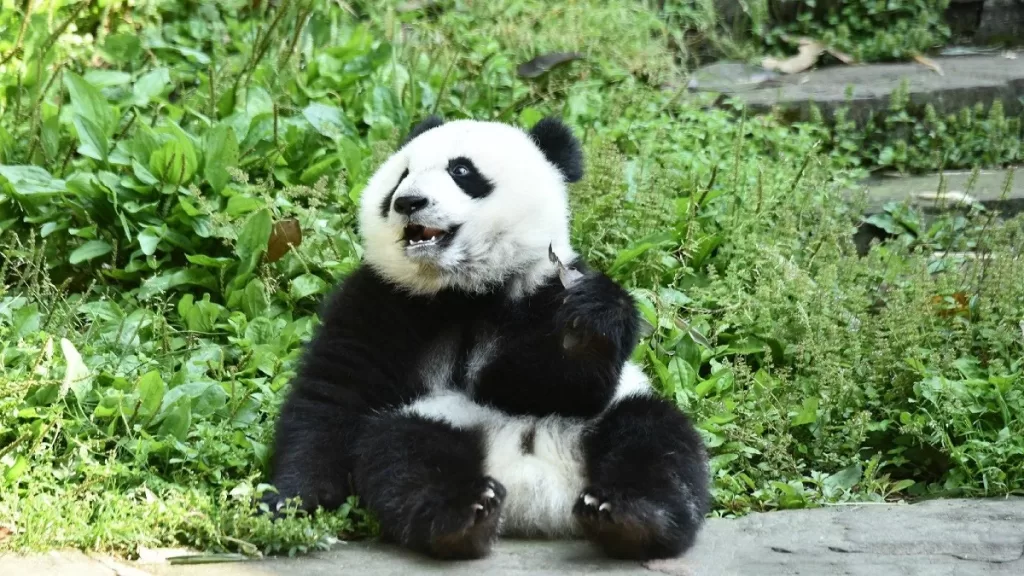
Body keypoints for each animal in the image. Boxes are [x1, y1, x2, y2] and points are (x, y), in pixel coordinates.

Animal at [265, 115, 710, 561]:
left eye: (462, 171)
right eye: (402, 176)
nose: (408, 202)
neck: (462, 289)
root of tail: (534, 497)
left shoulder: (545, 285)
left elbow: (561, 387)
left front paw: (587, 326)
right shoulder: (382, 297)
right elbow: (334, 393)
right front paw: (291, 503)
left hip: (601, 425)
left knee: (653, 437)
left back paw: (629, 517)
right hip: (438, 421)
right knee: (403, 452)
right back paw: (464, 516)